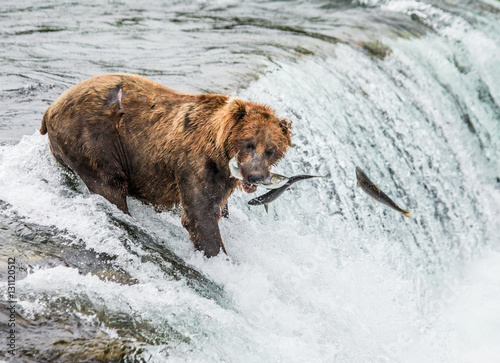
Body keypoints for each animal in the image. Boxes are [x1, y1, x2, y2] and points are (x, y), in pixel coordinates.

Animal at [41, 73, 294, 256]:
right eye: (248, 143)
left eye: (271, 149)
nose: (255, 176)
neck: (219, 151)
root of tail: (50, 109)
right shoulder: (195, 163)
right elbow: (200, 216)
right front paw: (219, 256)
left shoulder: (224, 179)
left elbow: (217, 207)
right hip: (93, 140)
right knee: (109, 186)